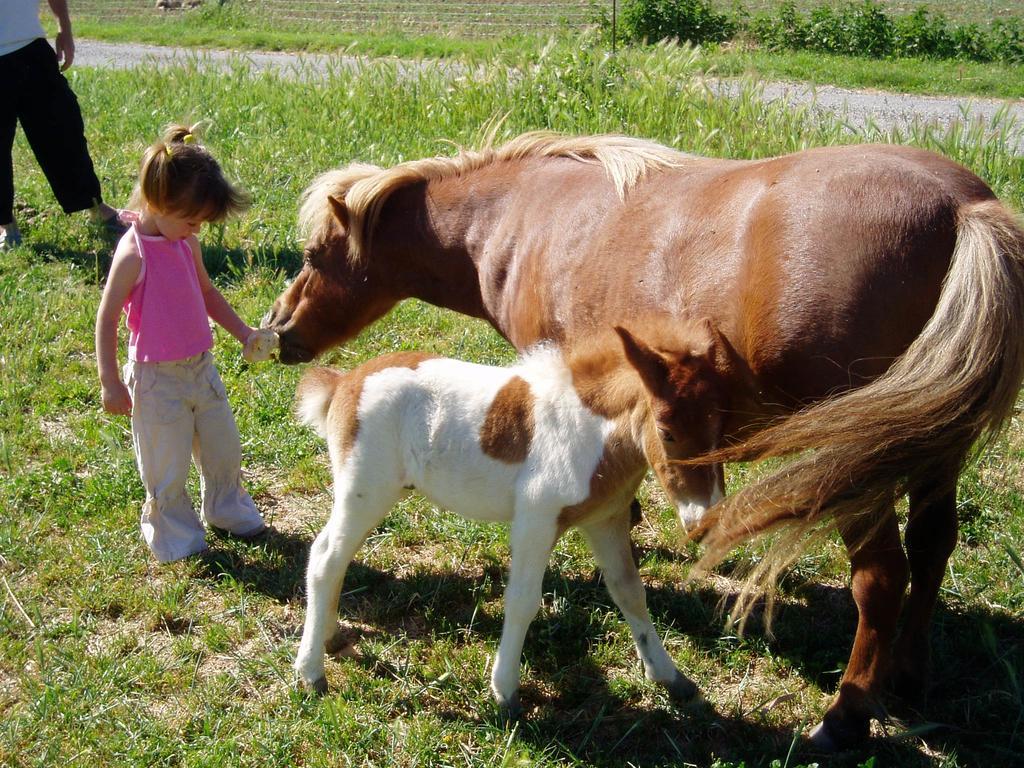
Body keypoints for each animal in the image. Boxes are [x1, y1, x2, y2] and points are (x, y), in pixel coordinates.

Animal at [292, 317, 733, 716]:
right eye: (667, 431)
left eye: (723, 431)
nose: (707, 522)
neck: (593, 434)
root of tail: (344, 382)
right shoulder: (535, 519)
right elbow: (522, 600)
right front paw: (505, 693)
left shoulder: (605, 520)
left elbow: (629, 590)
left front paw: (671, 678)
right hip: (365, 491)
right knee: (325, 558)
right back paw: (311, 671)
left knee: (335, 558)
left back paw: (330, 637)